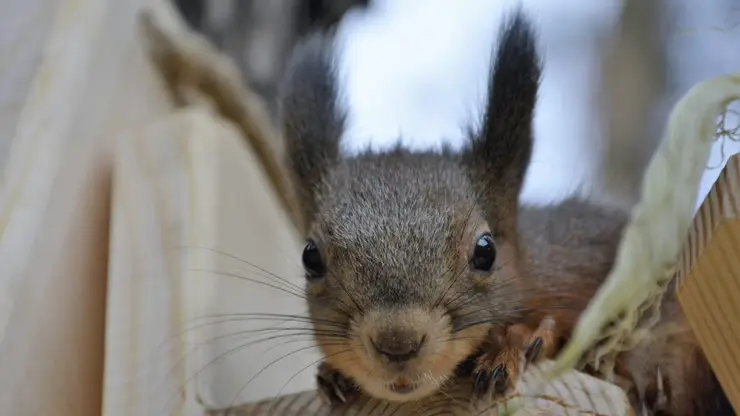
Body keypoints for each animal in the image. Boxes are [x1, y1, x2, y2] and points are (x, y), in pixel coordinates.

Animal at [276, 8, 736, 414]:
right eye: (310, 258)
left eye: (486, 251)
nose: (397, 343)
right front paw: (332, 375)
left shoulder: (594, 255)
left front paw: (520, 340)